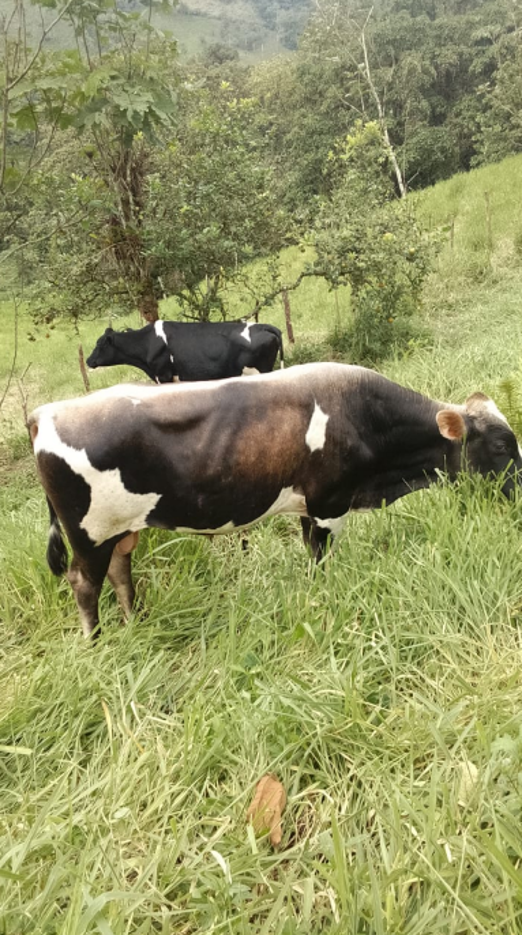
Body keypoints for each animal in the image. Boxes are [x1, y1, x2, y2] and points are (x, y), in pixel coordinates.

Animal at [29, 362, 522, 638]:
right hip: (88, 534)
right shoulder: (328, 505)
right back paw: (96, 642)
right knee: (84, 583)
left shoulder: (309, 507)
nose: (519, 493)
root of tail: (43, 412)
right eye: (501, 445)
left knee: (120, 572)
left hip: (119, 530)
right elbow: (319, 562)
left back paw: (135, 624)